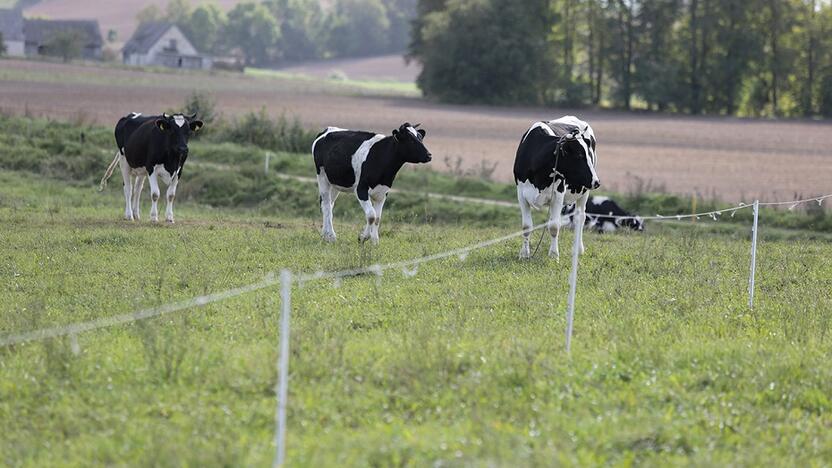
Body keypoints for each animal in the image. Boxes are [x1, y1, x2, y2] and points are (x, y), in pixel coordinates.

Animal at [510, 114, 600, 258]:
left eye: (588, 154)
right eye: (579, 155)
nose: (597, 182)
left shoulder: (558, 193)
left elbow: (554, 226)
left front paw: (553, 255)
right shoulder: (521, 194)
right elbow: (526, 227)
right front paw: (524, 253)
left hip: (584, 191)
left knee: (580, 218)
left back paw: (578, 249)